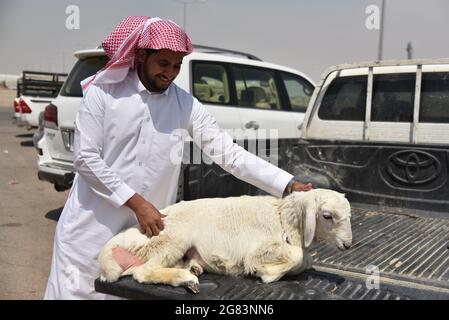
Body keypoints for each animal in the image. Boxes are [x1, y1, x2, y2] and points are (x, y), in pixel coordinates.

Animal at [98, 189, 350, 294]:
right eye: (327, 216)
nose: (348, 245)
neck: (282, 218)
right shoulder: (259, 249)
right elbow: (299, 257)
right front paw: (264, 273)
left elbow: (306, 260)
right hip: (172, 239)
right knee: (144, 272)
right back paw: (186, 279)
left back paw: (194, 268)